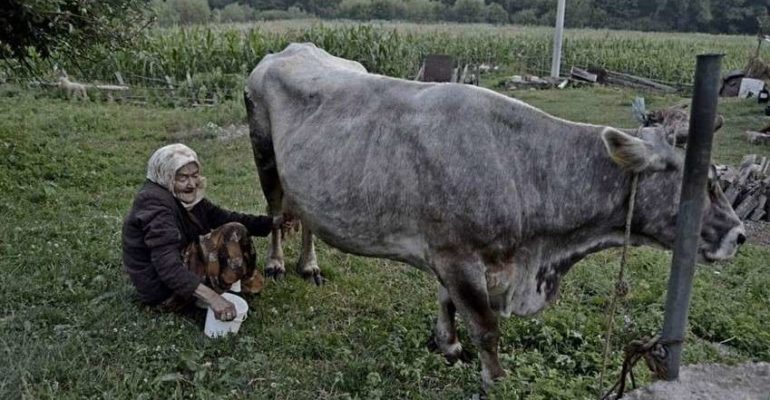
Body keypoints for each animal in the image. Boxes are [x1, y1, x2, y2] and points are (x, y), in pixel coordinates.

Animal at [244, 43, 744, 388]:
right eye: (704, 181)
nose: (739, 235)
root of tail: (291, 49)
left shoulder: (451, 253)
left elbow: (447, 302)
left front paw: (446, 344)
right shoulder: (457, 255)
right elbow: (485, 326)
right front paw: (493, 377)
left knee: (304, 216)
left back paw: (309, 265)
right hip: (265, 154)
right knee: (276, 211)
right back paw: (277, 263)